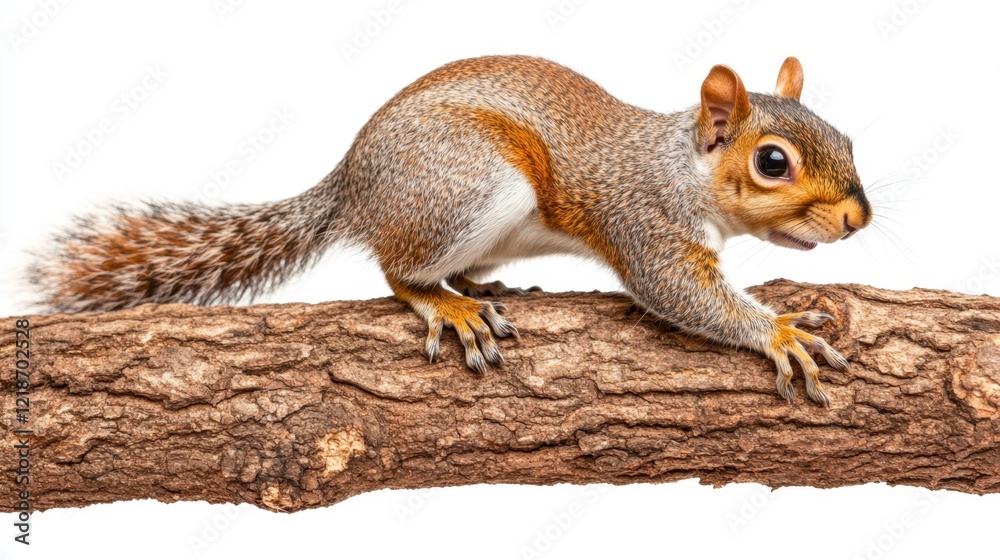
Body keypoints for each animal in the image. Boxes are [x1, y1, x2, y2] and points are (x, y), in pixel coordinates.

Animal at [28, 55, 871, 406]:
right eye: (772, 162)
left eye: (848, 137)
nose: (858, 218)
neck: (678, 165)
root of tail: (353, 185)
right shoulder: (644, 220)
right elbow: (681, 292)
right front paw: (779, 332)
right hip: (466, 186)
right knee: (398, 270)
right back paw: (448, 303)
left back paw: (480, 284)